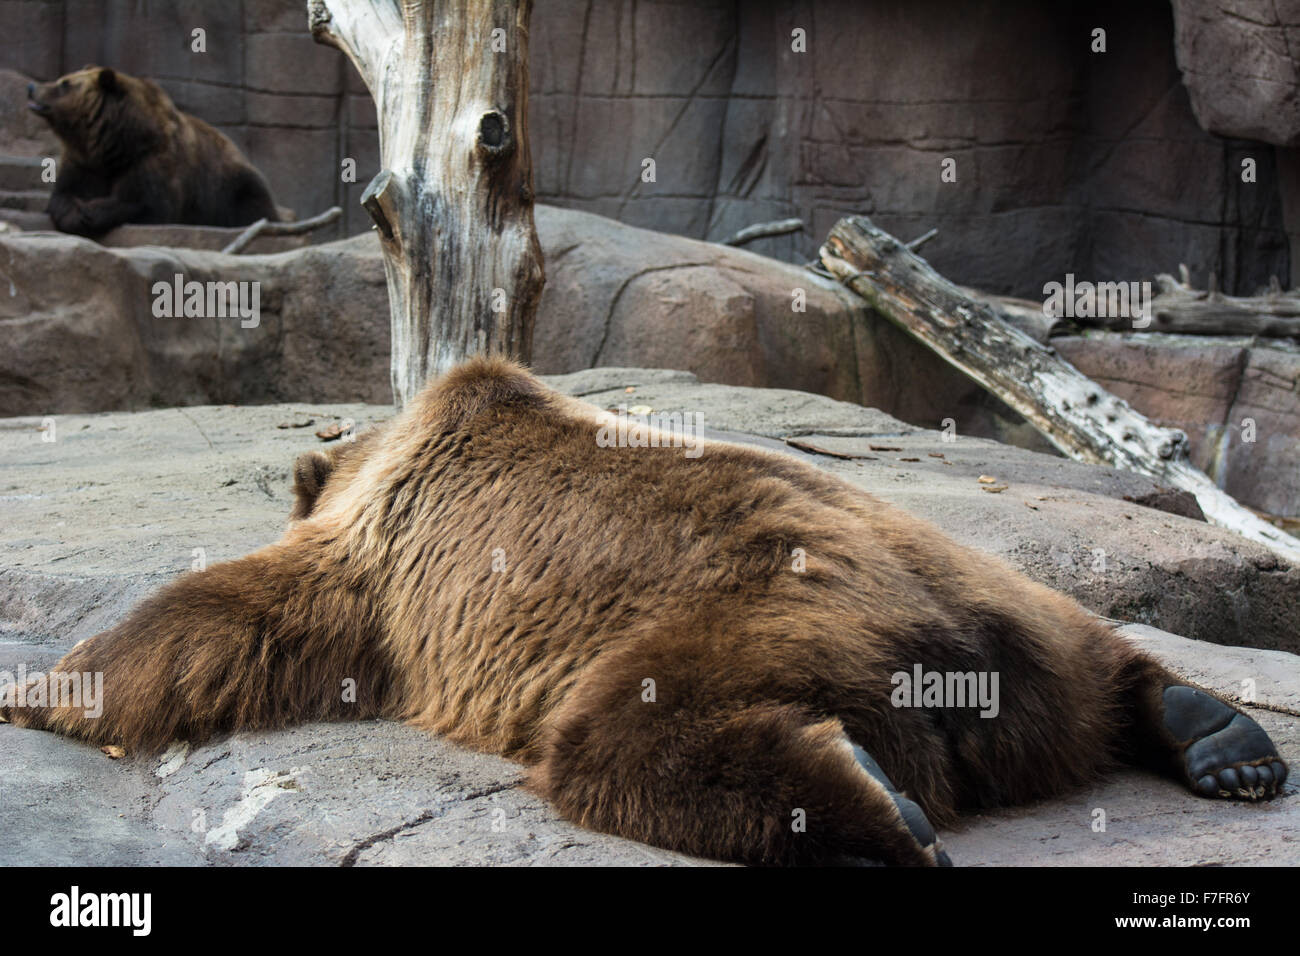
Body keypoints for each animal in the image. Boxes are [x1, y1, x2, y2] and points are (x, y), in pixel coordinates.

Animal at [0, 358, 1279, 868]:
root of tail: (967, 659)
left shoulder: (378, 560)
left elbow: (217, 614)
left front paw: (39, 686)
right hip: (1004, 597)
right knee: (1103, 652)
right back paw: (1222, 739)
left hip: (761, 616)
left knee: (625, 739)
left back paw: (879, 809)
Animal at [26, 66, 279, 238]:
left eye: (65, 84)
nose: (31, 88)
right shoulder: (83, 161)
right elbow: (64, 194)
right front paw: (74, 213)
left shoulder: (151, 158)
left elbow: (146, 203)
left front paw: (89, 211)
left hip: (231, 185)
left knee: (251, 205)